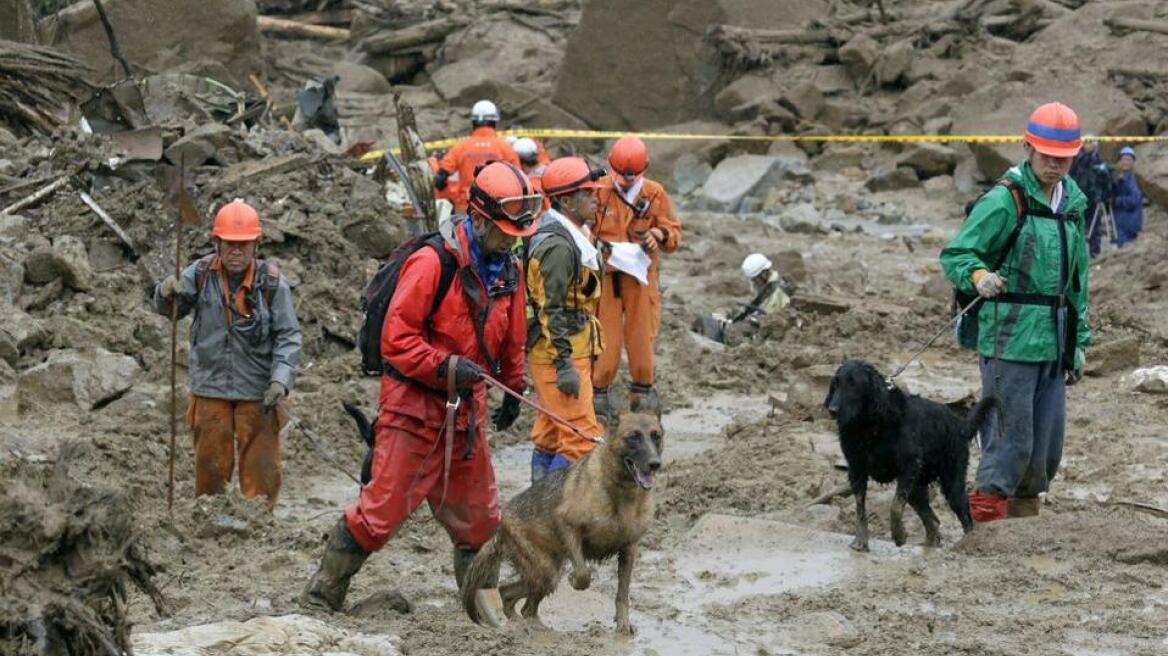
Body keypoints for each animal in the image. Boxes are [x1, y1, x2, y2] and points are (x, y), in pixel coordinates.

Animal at [460, 410, 663, 630]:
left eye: (656, 436)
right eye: (633, 437)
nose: (655, 464)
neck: (621, 492)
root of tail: (500, 522)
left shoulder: (629, 549)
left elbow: (623, 594)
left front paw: (623, 625)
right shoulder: (567, 525)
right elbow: (583, 574)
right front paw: (575, 579)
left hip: (546, 570)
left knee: (513, 597)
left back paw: (523, 625)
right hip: (545, 570)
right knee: (519, 600)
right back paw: (527, 628)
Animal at [822, 359, 995, 548]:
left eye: (853, 384)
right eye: (835, 384)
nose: (832, 410)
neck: (868, 426)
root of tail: (960, 424)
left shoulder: (909, 465)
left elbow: (895, 506)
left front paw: (899, 534)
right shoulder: (856, 469)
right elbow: (860, 507)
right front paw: (861, 540)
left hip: (951, 482)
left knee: (965, 518)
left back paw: (967, 543)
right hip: (916, 488)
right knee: (932, 519)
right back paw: (930, 543)